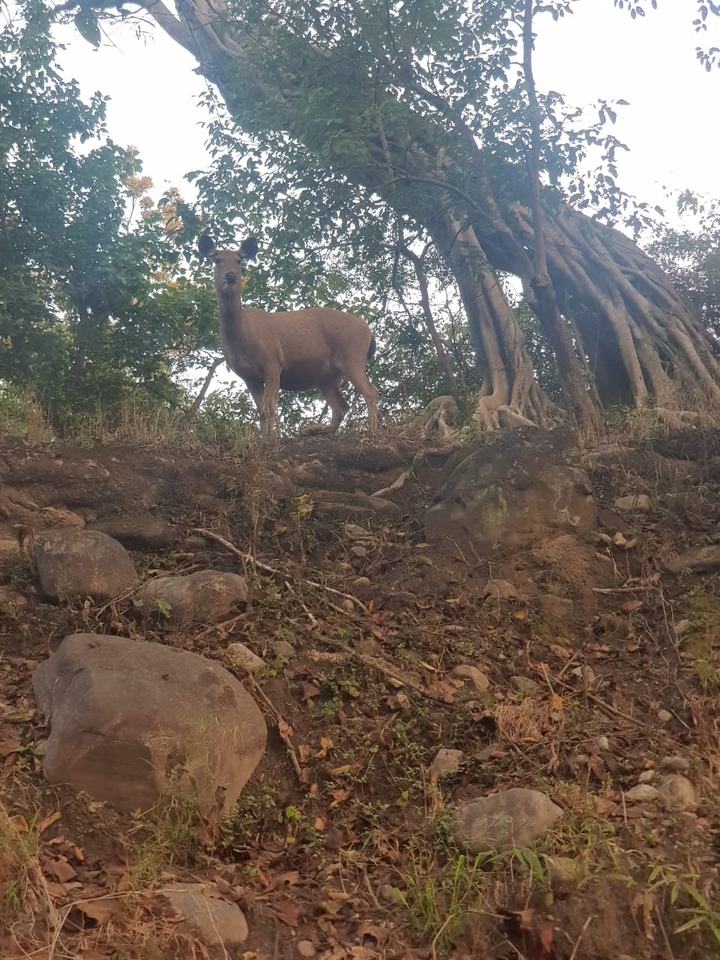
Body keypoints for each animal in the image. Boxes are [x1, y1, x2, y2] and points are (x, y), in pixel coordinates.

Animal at [199, 234, 379, 438]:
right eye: (217, 259)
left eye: (239, 260)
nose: (231, 276)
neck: (241, 334)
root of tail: (368, 331)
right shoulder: (248, 376)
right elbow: (261, 411)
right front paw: (264, 438)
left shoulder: (272, 361)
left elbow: (270, 406)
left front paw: (272, 438)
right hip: (326, 376)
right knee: (341, 406)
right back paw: (317, 429)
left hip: (351, 354)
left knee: (369, 392)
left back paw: (372, 429)